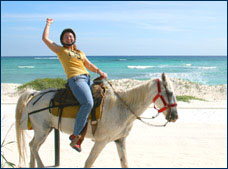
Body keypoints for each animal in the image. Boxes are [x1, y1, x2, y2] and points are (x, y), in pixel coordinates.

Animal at [15, 72, 178, 168]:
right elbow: (89, 162)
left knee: (32, 146)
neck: (121, 107)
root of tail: (35, 94)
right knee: (33, 147)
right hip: (42, 130)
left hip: (45, 130)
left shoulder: (120, 140)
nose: (175, 116)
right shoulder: (101, 141)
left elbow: (125, 163)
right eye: (169, 93)